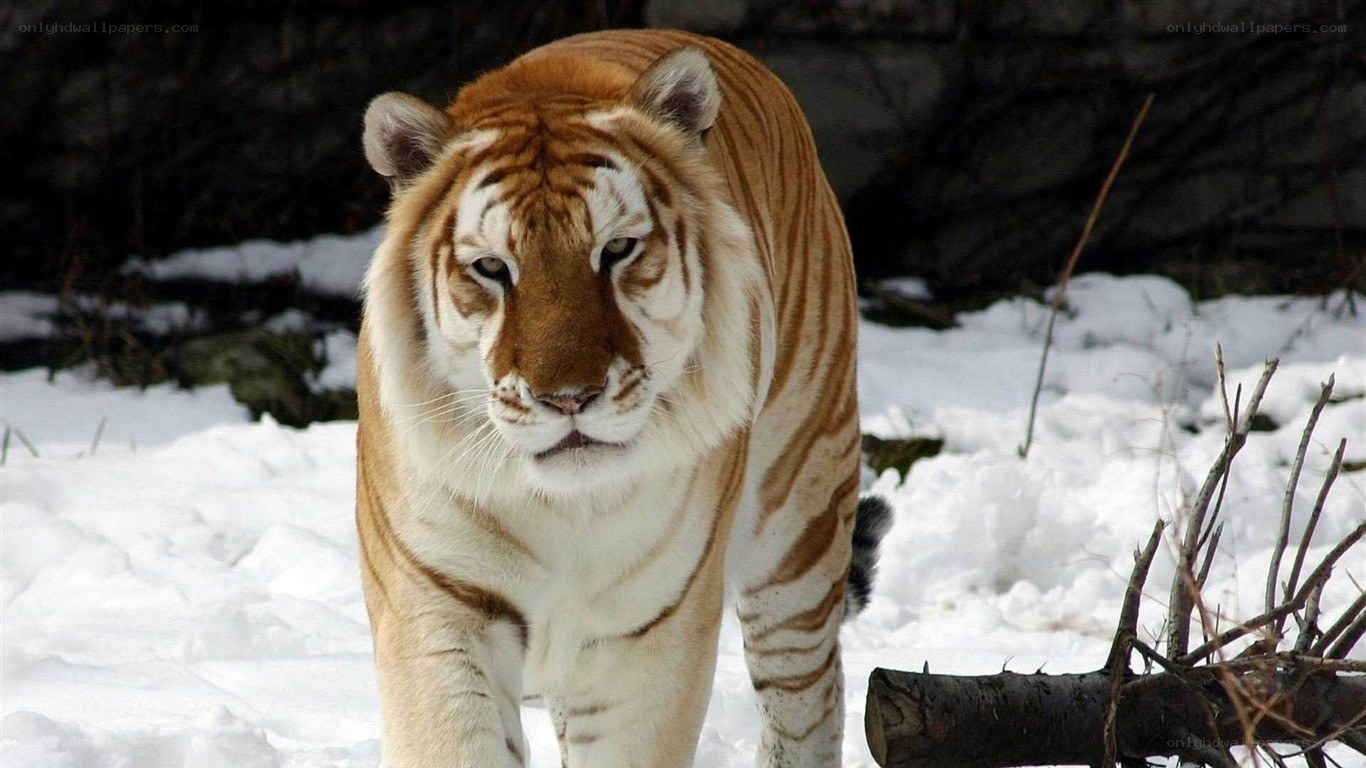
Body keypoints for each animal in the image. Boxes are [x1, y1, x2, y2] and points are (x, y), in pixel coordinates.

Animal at [355, 28, 891, 768]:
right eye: (492, 268)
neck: (562, 507)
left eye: (617, 251)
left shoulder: (649, 634)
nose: (569, 397)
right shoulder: (438, 608)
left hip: (801, 516)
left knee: (807, 700)